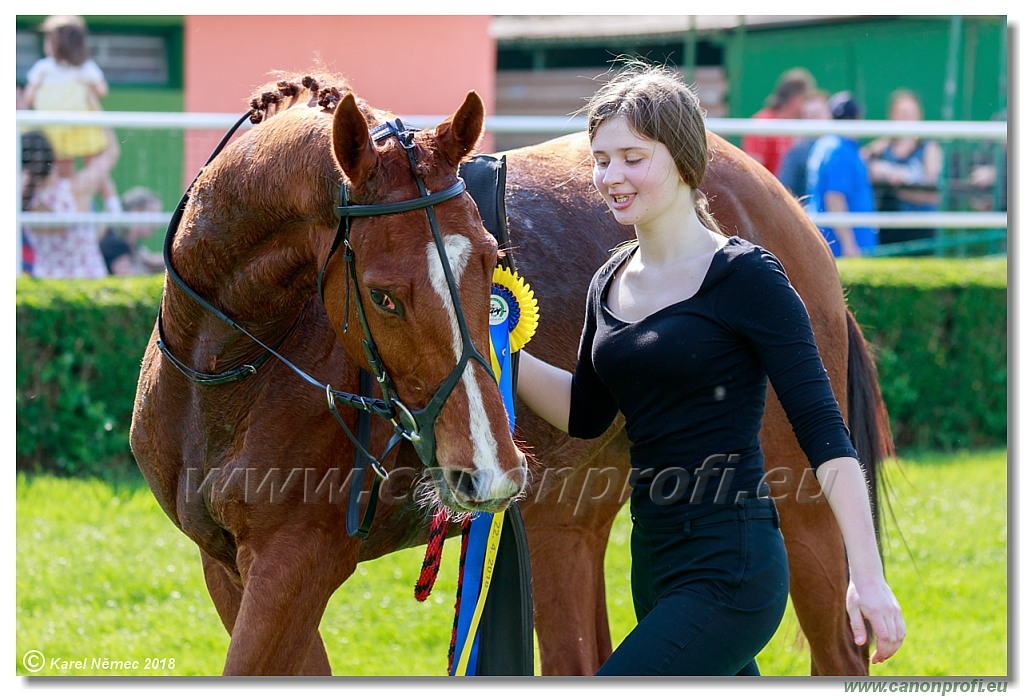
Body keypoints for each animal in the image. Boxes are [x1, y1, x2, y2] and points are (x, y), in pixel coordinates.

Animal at [132, 72, 892, 679]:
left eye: (491, 258)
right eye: (382, 294)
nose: (488, 471)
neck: (233, 361)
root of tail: (787, 213)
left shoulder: (294, 565)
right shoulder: (229, 568)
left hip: (801, 495)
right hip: (567, 515)